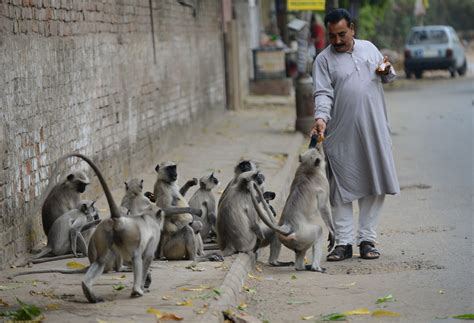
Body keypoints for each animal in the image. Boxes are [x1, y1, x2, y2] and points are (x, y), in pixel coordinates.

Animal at [248, 145, 336, 274]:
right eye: (319, 152)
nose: (318, 146)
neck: (308, 170)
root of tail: (288, 225)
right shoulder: (323, 183)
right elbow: (324, 207)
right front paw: (332, 232)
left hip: (295, 239)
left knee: (297, 251)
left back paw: (300, 267)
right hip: (304, 235)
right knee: (318, 231)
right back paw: (316, 268)